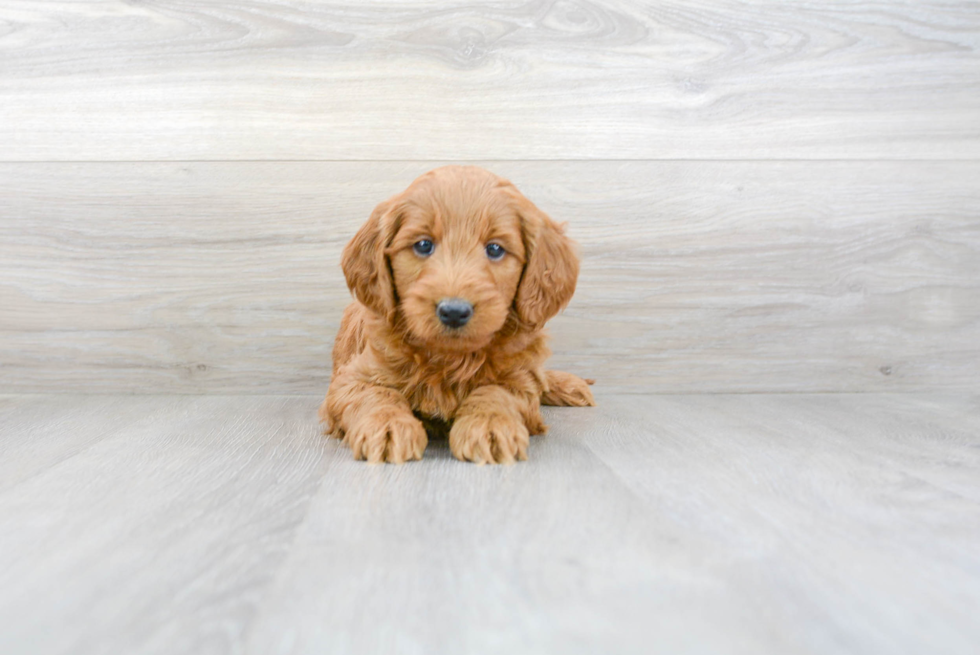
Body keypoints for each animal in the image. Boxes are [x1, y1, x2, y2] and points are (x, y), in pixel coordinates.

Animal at [324, 167, 596, 464]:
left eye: (495, 249)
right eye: (423, 245)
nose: (454, 311)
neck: (451, 357)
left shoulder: (520, 381)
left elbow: (497, 392)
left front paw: (490, 425)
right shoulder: (351, 378)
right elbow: (377, 394)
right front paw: (387, 426)